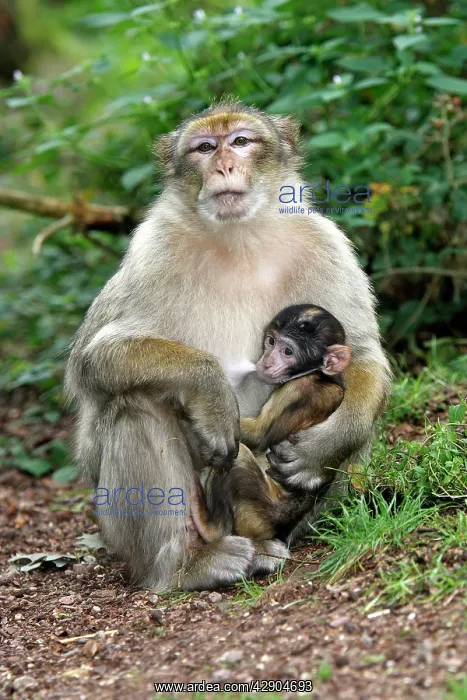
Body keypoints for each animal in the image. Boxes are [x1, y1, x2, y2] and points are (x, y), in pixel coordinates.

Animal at [193, 304, 351, 545]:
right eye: (270, 341)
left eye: (288, 352)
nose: (266, 362)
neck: (320, 376)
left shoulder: (296, 390)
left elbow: (260, 435)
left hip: (256, 514)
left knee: (239, 458)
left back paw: (209, 527)